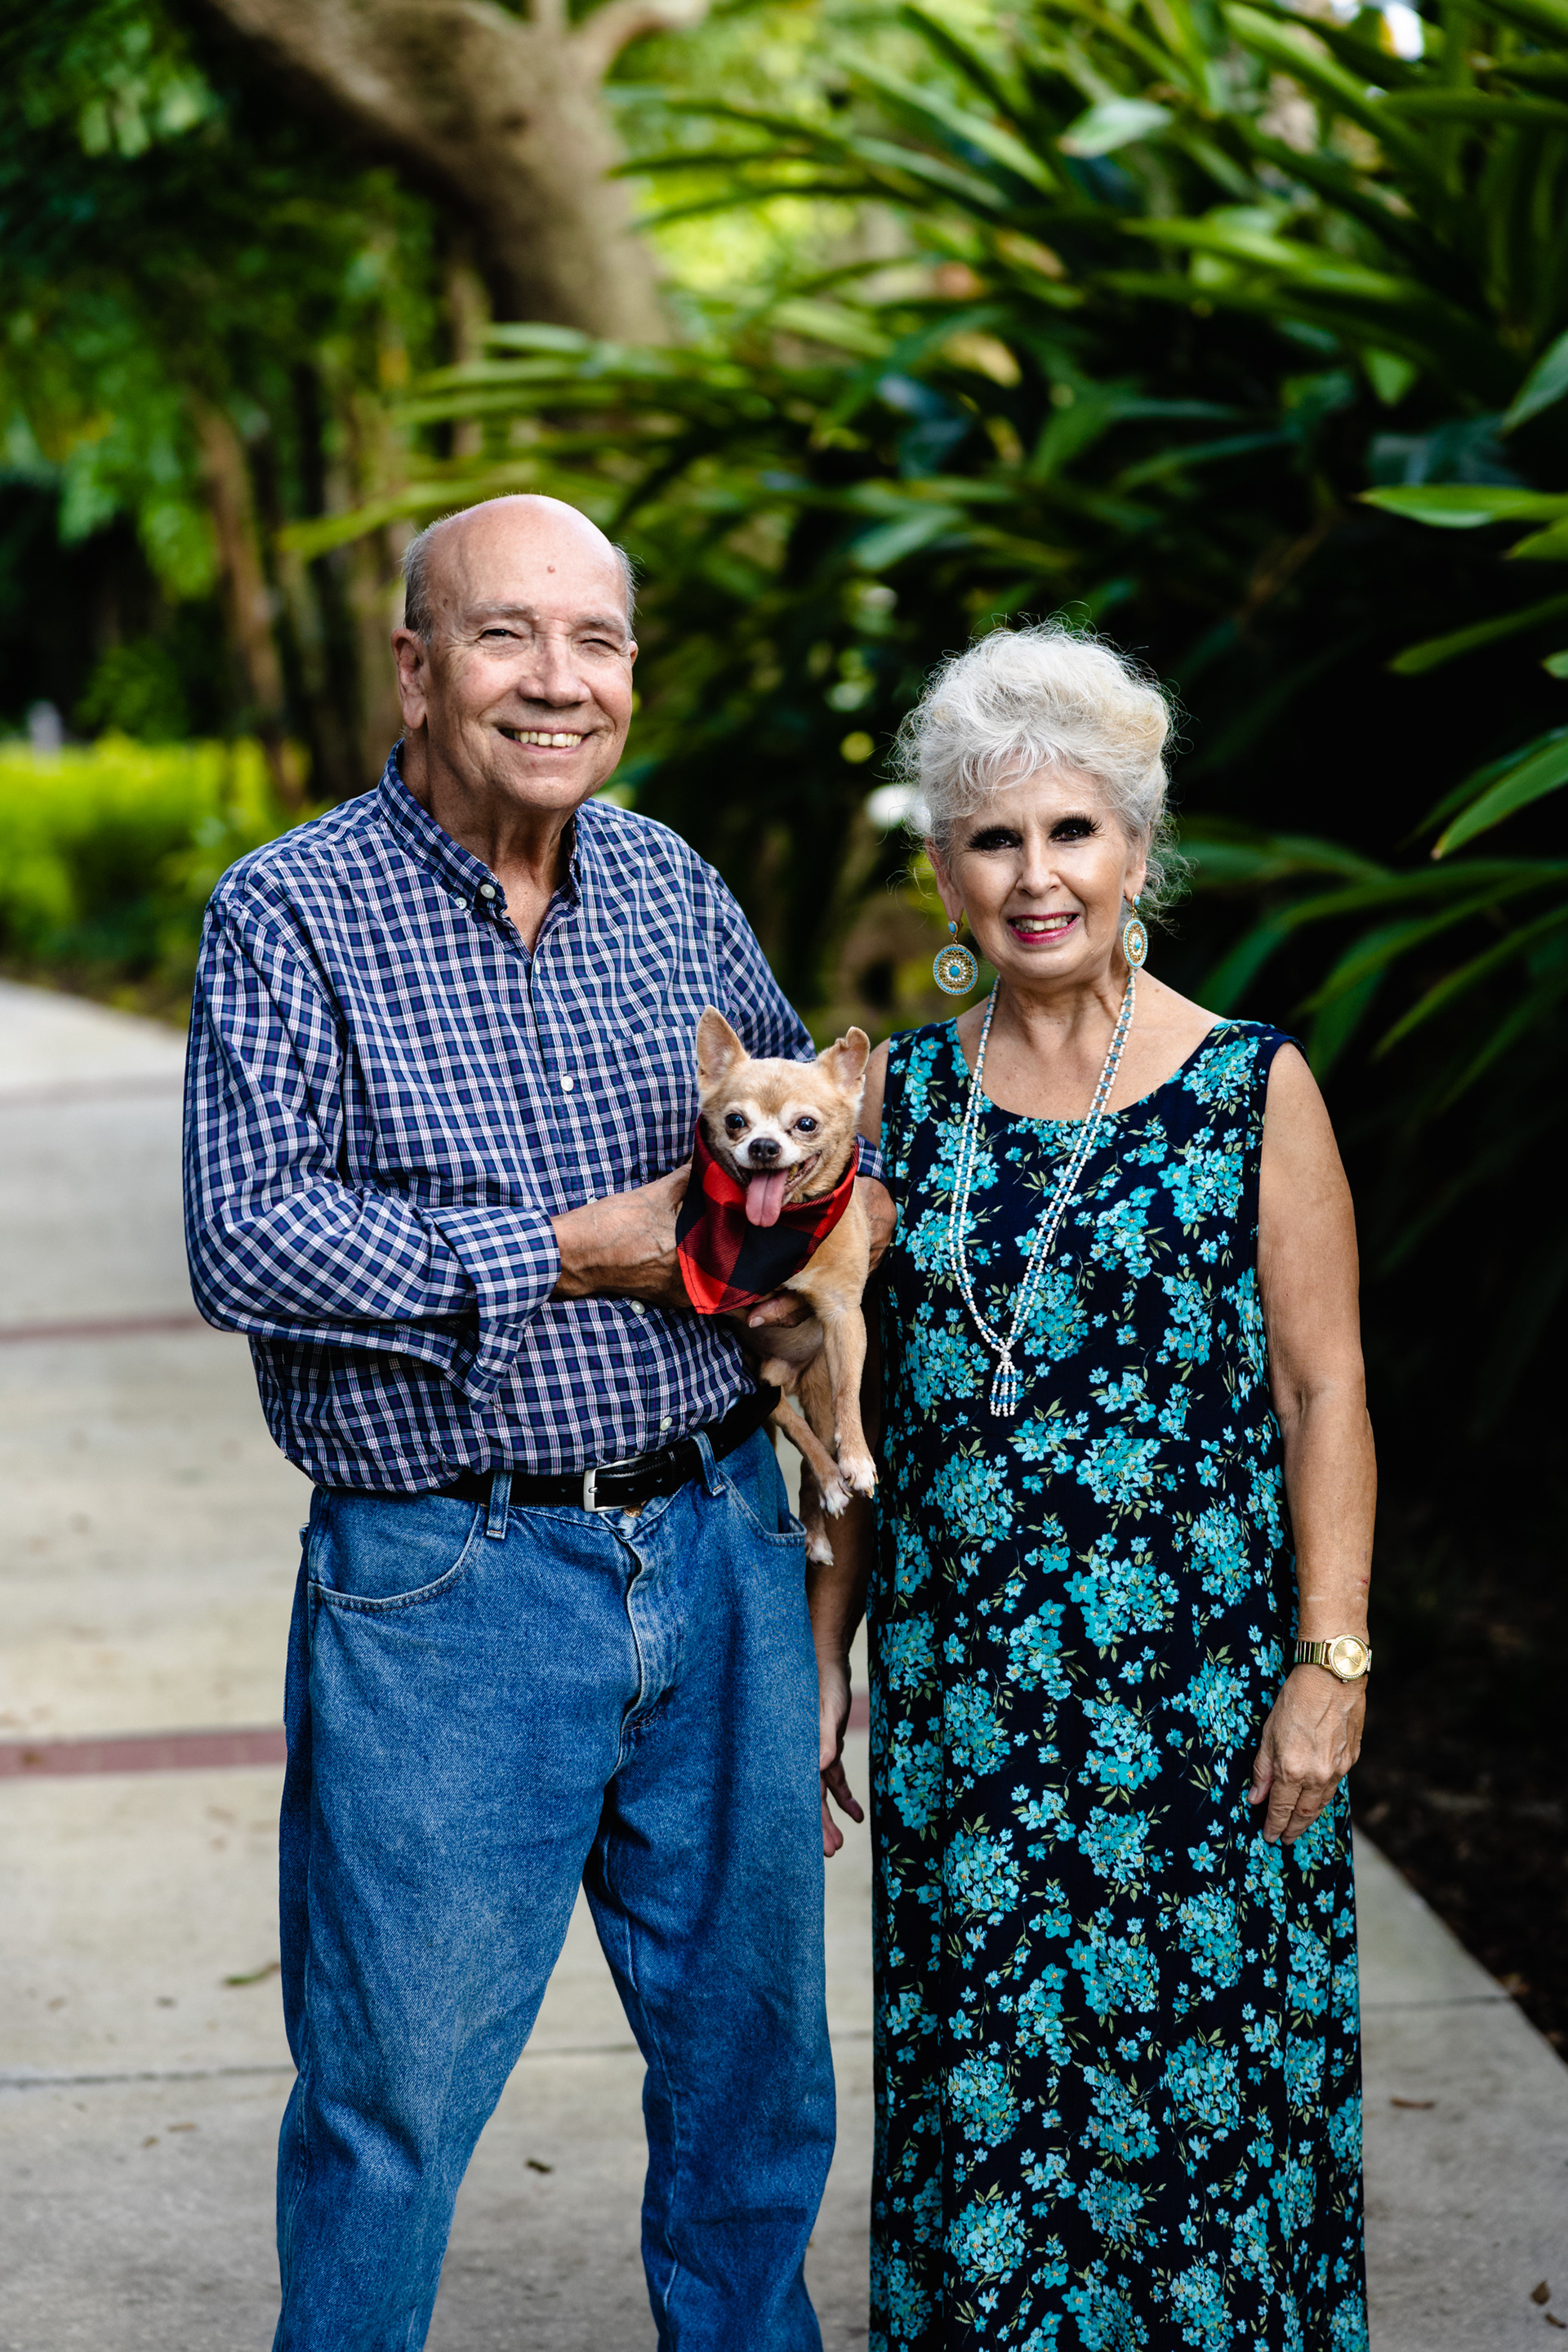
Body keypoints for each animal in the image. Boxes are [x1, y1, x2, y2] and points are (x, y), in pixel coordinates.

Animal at [682, 1008, 875, 1565]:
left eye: (805, 1124)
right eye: (735, 1122)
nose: (764, 1146)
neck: (784, 1229)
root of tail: (787, 1374)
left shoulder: (844, 1319)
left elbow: (850, 1394)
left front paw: (858, 1457)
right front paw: (844, 1470)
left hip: (815, 1380)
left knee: (814, 1444)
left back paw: (820, 1512)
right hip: (762, 1378)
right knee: (792, 1426)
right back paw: (829, 1484)